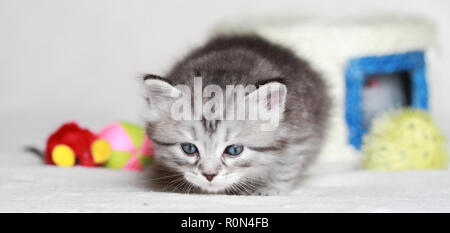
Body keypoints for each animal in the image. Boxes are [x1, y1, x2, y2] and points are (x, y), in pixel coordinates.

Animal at [144, 34, 330, 195]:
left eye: (234, 150)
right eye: (189, 148)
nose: (209, 175)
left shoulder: (300, 135)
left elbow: (287, 167)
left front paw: (268, 188)